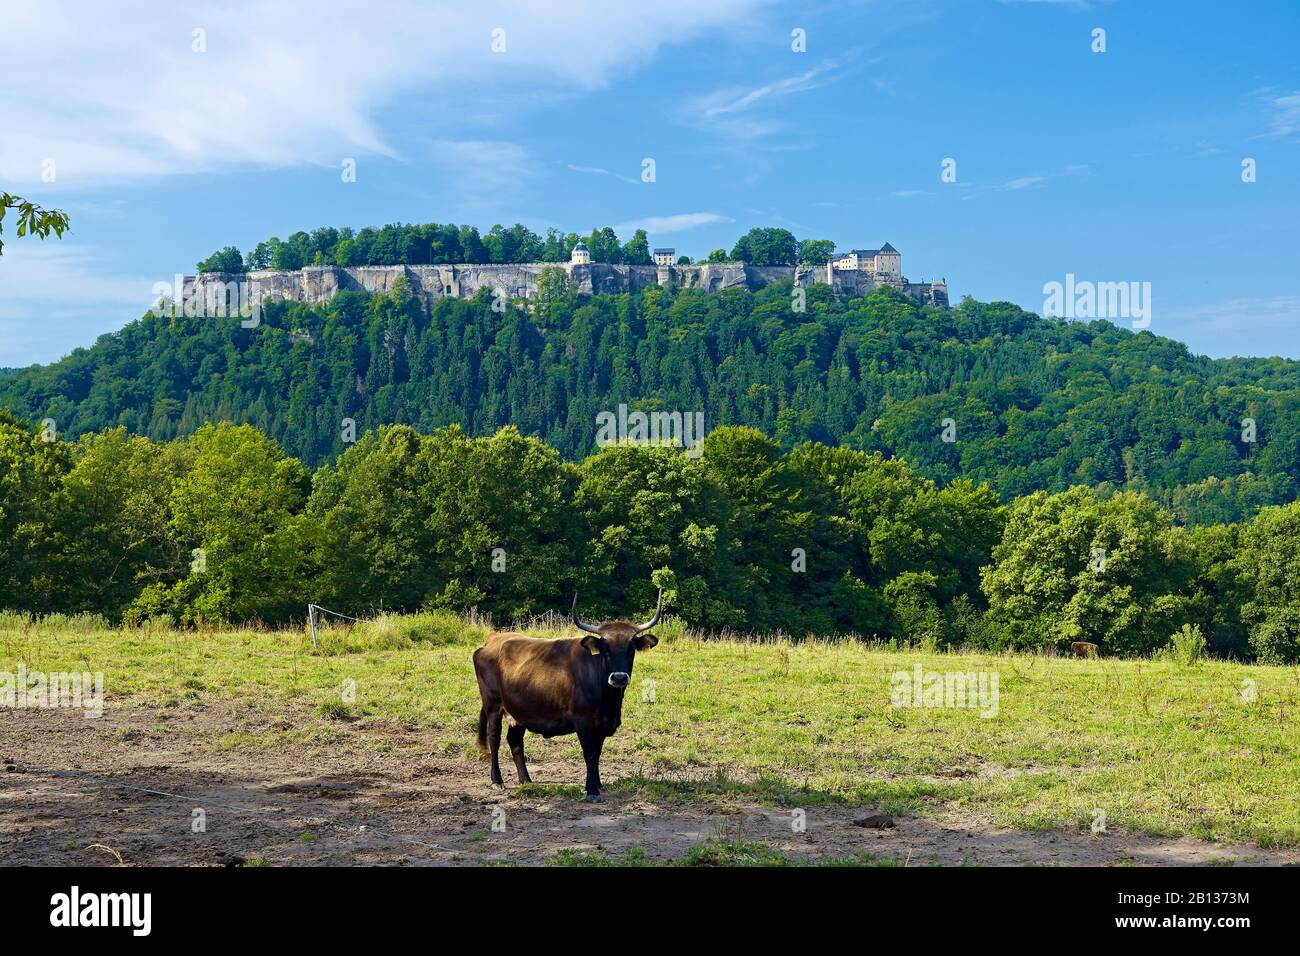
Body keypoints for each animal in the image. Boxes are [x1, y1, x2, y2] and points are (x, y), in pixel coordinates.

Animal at [473, 590, 665, 801]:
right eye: (605, 649)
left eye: (631, 649)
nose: (619, 677)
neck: (608, 701)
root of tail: (492, 640)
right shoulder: (582, 722)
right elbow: (589, 754)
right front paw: (591, 790)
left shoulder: (601, 724)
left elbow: (597, 754)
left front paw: (598, 784)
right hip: (492, 705)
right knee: (494, 738)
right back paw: (497, 780)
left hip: (518, 711)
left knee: (515, 741)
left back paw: (526, 780)